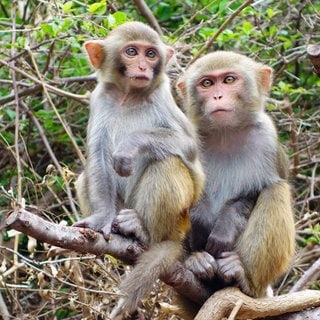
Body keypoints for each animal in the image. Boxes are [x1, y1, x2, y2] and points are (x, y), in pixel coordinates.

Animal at [74, 21, 205, 318]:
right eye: (132, 52)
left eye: (151, 54)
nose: (144, 67)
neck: (128, 96)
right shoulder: (100, 99)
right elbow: (97, 158)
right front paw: (100, 219)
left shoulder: (162, 96)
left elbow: (189, 146)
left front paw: (130, 145)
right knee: (85, 176)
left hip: (177, 222)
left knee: (167, 163)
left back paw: (144, 232)